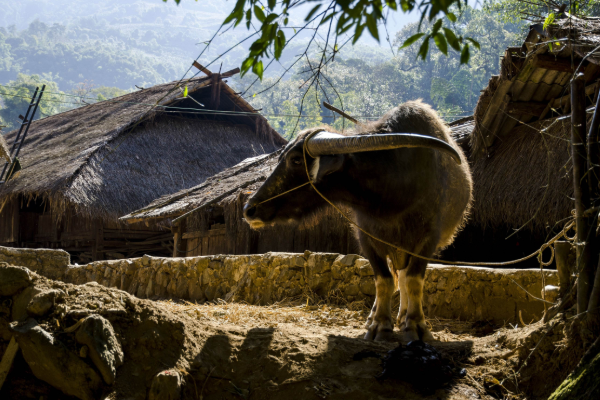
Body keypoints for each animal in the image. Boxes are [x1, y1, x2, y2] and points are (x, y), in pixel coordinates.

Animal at [241, 100, 472, 340]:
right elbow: (383, 280)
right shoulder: (367, 237)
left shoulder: (428, 238)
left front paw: (416, 325)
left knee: (404, 276)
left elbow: (413, 280)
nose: (249, 209)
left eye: (295, 160)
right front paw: (379, 324)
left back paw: (403, 316)